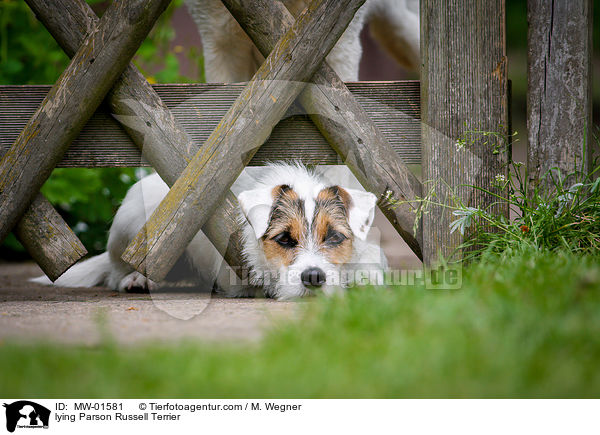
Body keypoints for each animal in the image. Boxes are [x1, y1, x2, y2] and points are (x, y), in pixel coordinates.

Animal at [32, 162, 386, 302]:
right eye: (285, 239)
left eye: (334, 238)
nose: (313, 278)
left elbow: (370, 259)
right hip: (131, 223)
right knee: (116, 270)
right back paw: (136, 279)